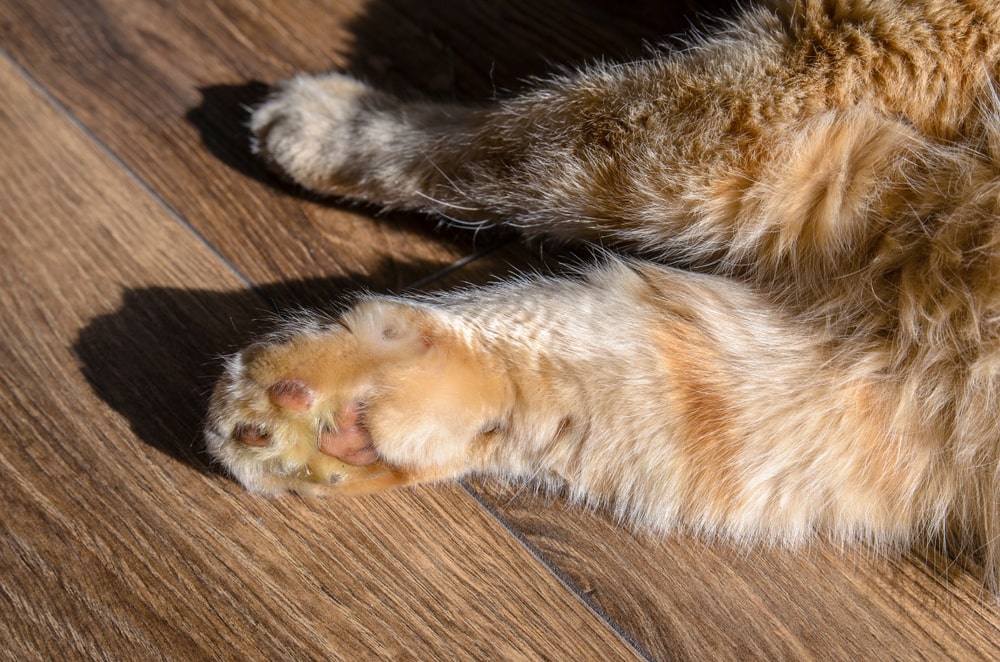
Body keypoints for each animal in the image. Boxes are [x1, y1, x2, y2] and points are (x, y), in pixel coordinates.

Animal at [205, 0, 1000, 596]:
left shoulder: (802, 77)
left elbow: (503, 141)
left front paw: (332, 125)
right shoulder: (881, 394)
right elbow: (580, 365)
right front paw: (346, 411)